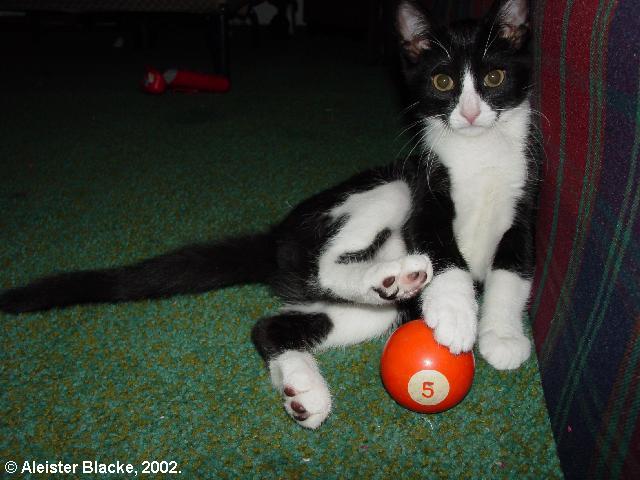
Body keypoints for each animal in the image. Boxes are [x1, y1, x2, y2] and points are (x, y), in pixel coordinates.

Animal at [0, 0, 539, 429]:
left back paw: (307, 387)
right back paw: (393, 276)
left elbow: (513, 273)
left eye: (493, 77)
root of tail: (277, 236)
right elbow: (442, 249)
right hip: (387, 188)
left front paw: (502, 336)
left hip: (366, 312)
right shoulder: (425, 188)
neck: (477, 154)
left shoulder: (524, 205)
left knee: (272, 326)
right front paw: (455, 312)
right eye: (442, 81)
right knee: (328, 264)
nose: (470, 113)